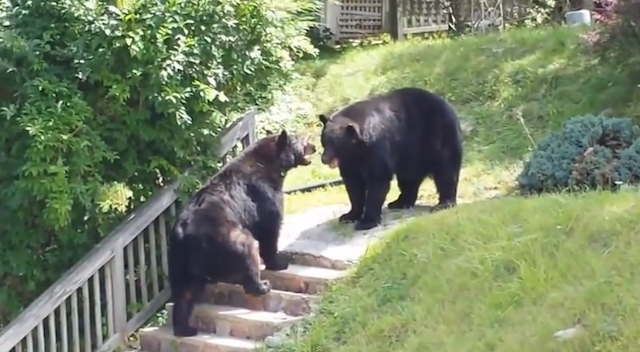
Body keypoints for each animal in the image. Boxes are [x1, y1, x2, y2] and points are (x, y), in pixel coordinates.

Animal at [166, 129, 314, 336]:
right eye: (301, 140)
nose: (314, 146)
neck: (271, 163)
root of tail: (184, 233)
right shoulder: (264, 194)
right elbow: (270, 229)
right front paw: (279, 263)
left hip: (178, 260)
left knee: (184, 293)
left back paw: (185, 328)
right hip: (228, 236)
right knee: (247, 250)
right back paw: (262, 285)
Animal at [318, 87, 460, 231]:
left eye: (334, 144)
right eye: (324, 141)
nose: (324, 159)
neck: (357, 148)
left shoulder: (376, 146)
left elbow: (378, 177)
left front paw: (367, 221)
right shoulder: (349, 160)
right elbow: (353, 183)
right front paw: (349, 215)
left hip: (438, 136)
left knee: (445, 170)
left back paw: (444, 203)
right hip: (410, 156)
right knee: (408, 179)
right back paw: (400, 202)